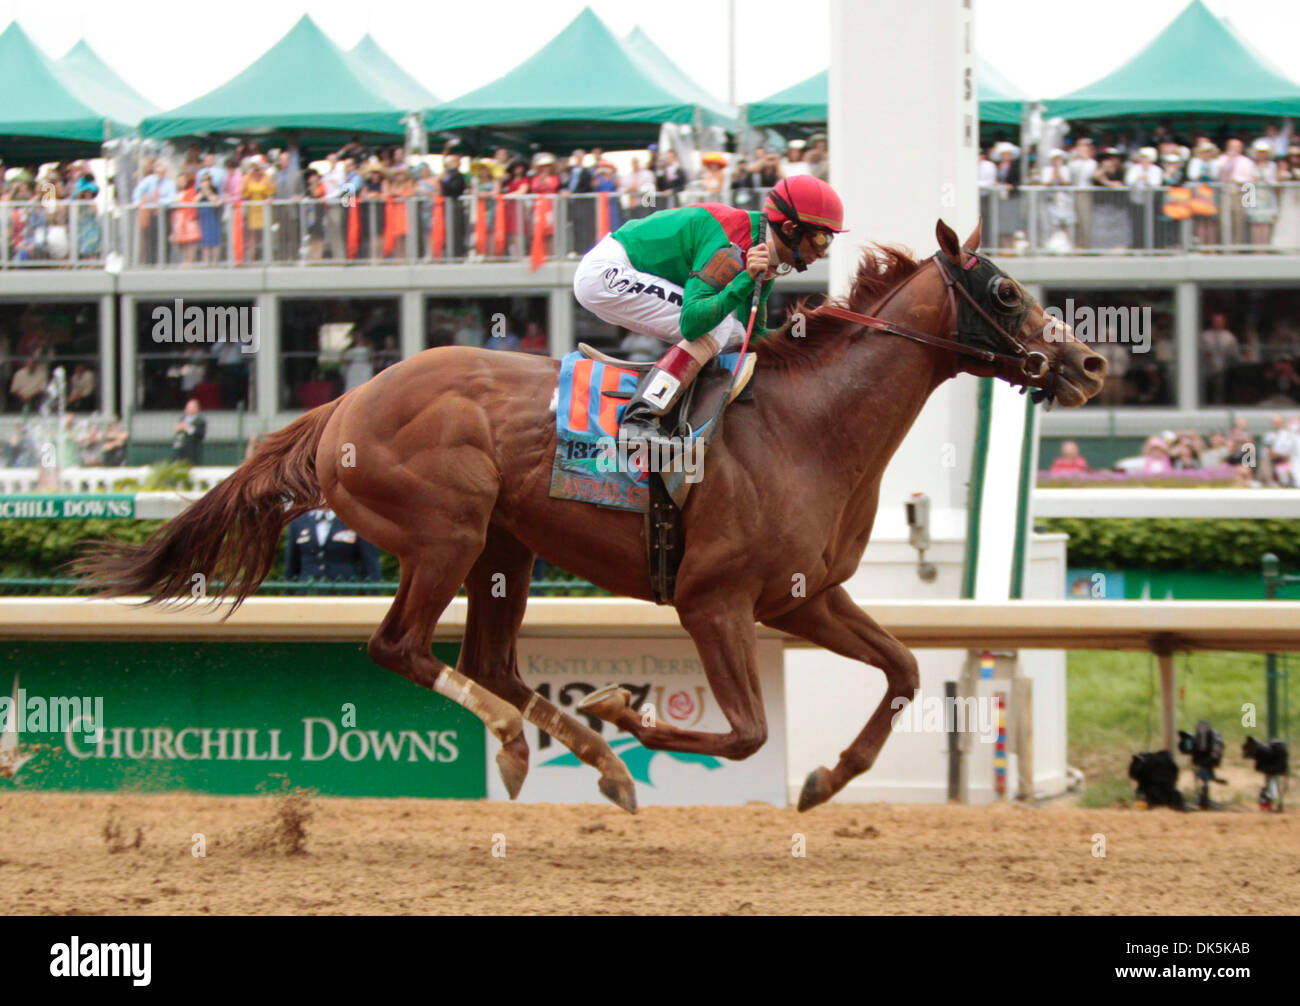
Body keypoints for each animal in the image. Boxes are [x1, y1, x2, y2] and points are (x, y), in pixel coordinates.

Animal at [76, 218, 1102, 811]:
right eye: (1005, 290)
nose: (1089, 363)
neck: (810, 426)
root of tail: (347, 403)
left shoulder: (801, 597)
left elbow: (901, 670)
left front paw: (823, 780)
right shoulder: (714, 601)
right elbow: (745, 732)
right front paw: (622, 705)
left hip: (507, 549)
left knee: (490, 659)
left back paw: (592, 762)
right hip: (445, 534)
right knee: (402, 648)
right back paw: (527, 747)